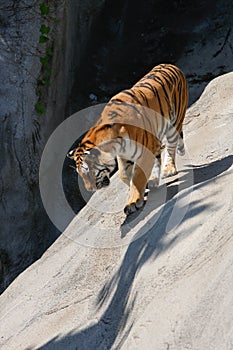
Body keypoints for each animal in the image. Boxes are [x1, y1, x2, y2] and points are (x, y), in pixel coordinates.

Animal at [67, 64, 187, 215]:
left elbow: (137, 177)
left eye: (87, 171)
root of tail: (172, 66)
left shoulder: (143, 152)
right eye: (80, 174)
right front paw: (136, 190)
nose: (90, 189)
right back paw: (154, 180)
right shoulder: (124, 155)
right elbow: (124, 175)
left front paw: (133, 202)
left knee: (171, 148)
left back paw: (168, 170)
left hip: (173, 123)